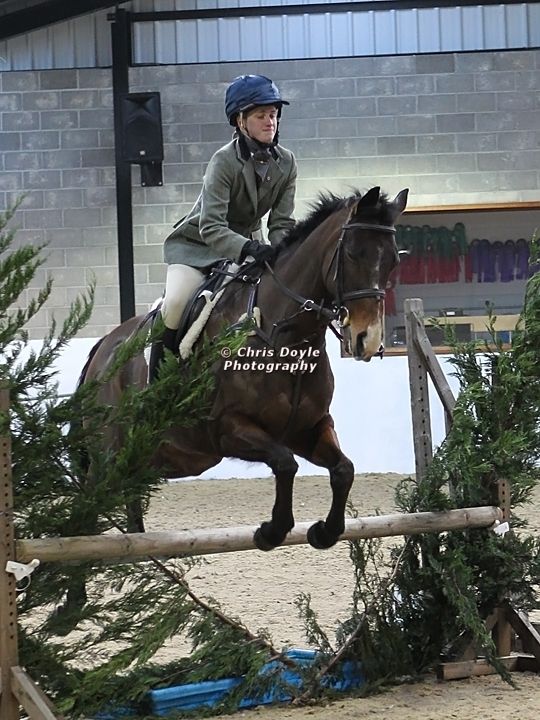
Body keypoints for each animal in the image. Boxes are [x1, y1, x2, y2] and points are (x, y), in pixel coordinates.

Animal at [79, 185, 408, 552]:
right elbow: (285, 463)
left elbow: (343, 469)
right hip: (109, 454)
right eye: (351, 254)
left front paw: (324, 531)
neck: (287, 340)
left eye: (393, 261)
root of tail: (104, 346)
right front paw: (271, 530)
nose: (369, 339)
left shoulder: (307, 428)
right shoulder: (228, 429)